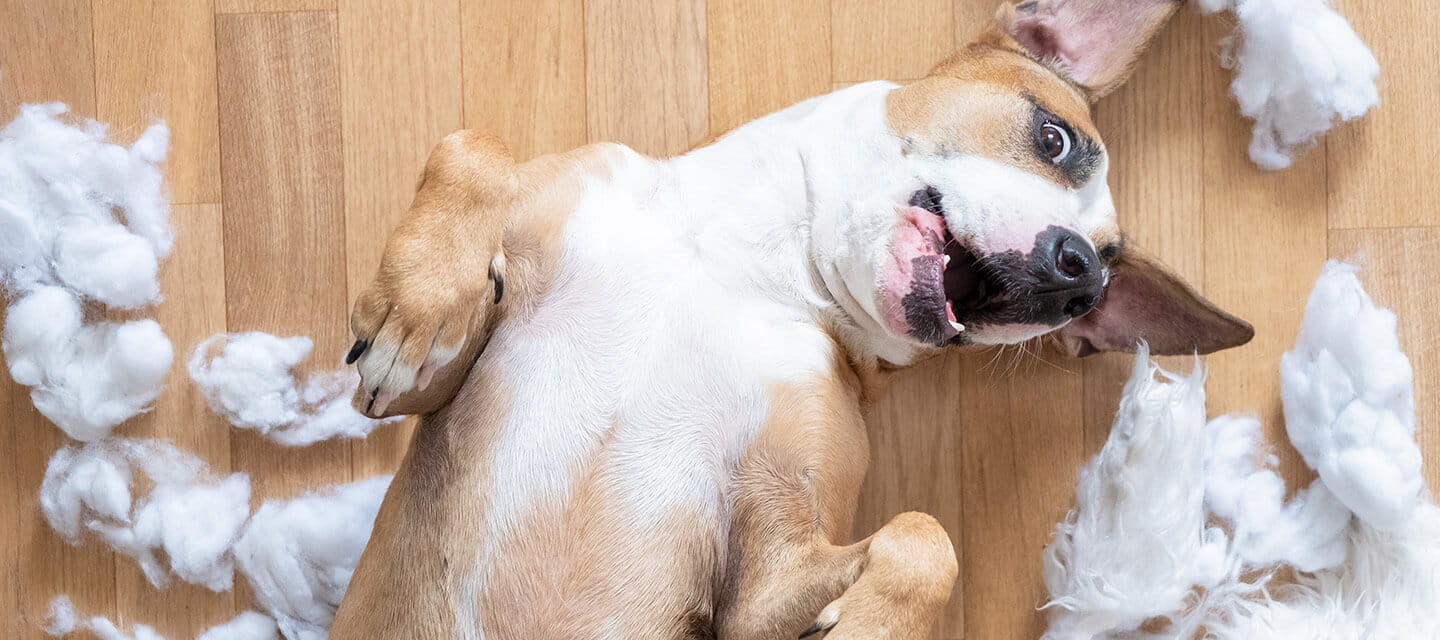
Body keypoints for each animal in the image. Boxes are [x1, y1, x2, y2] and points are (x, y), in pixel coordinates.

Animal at [326, 1, 1249, 634]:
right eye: (1055, 139)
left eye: (1096, 293)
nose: (1079, 275)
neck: (740, 266)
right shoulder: (428, 394)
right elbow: (470, 146)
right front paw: (417, 310)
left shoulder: (761, 586)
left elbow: (925, 536)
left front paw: (874, 626)